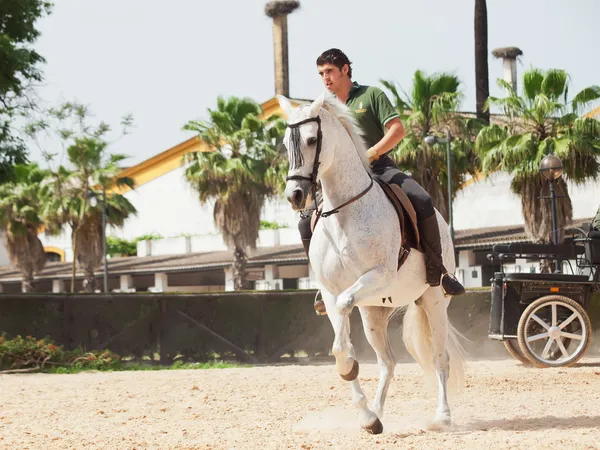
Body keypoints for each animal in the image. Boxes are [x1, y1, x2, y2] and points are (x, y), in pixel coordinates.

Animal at [278, 92, 466, 436]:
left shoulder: (377, 276)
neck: (345, 211)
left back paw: (442, 417)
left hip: (433, 301)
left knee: (439, 358)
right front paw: (364, 412)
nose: (295, 195)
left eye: (312, 139)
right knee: (387, 362)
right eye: (286, 143)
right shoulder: (331, 291)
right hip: (373, 313)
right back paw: (377, 413)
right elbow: (342, 345)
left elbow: (344, 311)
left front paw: (350, 371)